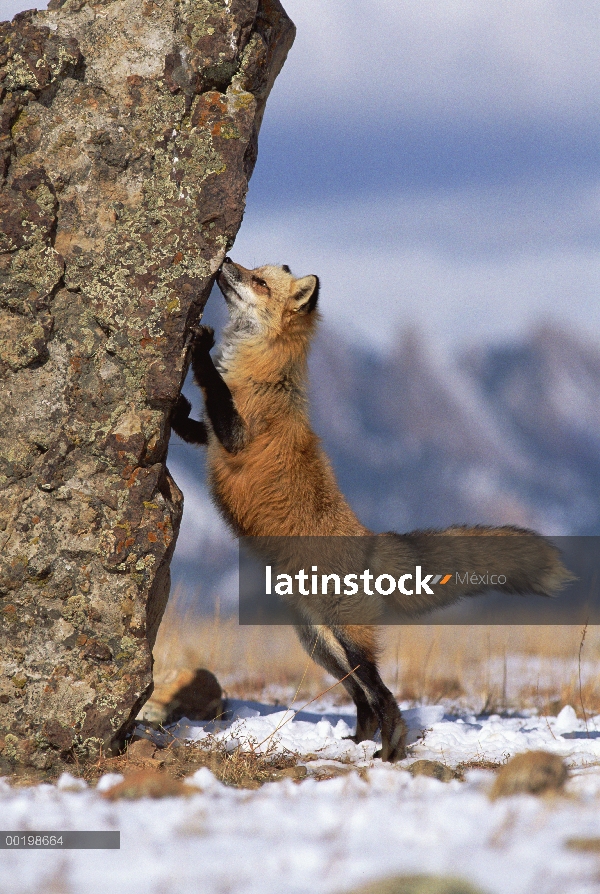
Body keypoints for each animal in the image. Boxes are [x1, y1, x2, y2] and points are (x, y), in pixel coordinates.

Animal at [170, 260, 572, 764]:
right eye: (252, 270)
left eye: (258, 281)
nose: (225, 263)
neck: (264, 375)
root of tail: (370, 540)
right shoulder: (213, 438)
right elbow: (191, 424)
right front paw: (173, 407)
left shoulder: (237, 434)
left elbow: (214, 387)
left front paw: (200, 348)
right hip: (320, 644)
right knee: (361, 696)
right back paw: (358, 743)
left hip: (347, 642)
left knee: (384, 695)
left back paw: (389, 750)